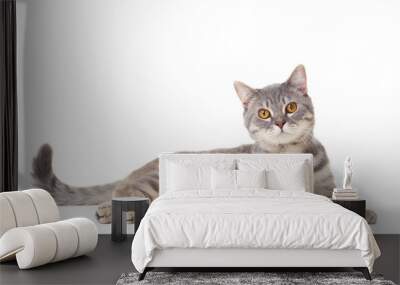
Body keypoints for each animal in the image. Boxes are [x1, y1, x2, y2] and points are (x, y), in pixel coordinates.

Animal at [32, 65, 376, 223]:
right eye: (264, 113)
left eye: (290, 107)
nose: (279, 122)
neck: (290, 153)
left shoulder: (326, 184)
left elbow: (332, 198)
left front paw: (367, 213)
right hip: (151, 183)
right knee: (124, 195)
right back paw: (110, 211)